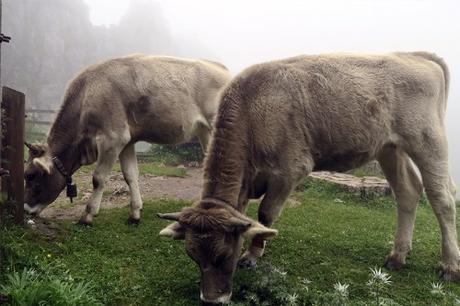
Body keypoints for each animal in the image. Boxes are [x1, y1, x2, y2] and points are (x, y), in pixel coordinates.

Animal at [22, 54, 230, 225]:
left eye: (30, 175)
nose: (26, 209)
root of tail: (221, 69)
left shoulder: (113, 138)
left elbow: (98, 178)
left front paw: (87, 216)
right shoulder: (127, 142)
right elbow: (130, 176)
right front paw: (135, 214)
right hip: (204, 131)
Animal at [160, 52, 458, 304]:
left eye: (223, 254)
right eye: (192, 255)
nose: (211, 300)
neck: (252, 108)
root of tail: (413, 55)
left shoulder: (290, 169)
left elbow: (266, 214)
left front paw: (254, 254)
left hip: (427, 140)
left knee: (441, 199)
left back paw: (450, 265)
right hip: (389, 147)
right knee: (407, 192)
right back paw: (398, 256)